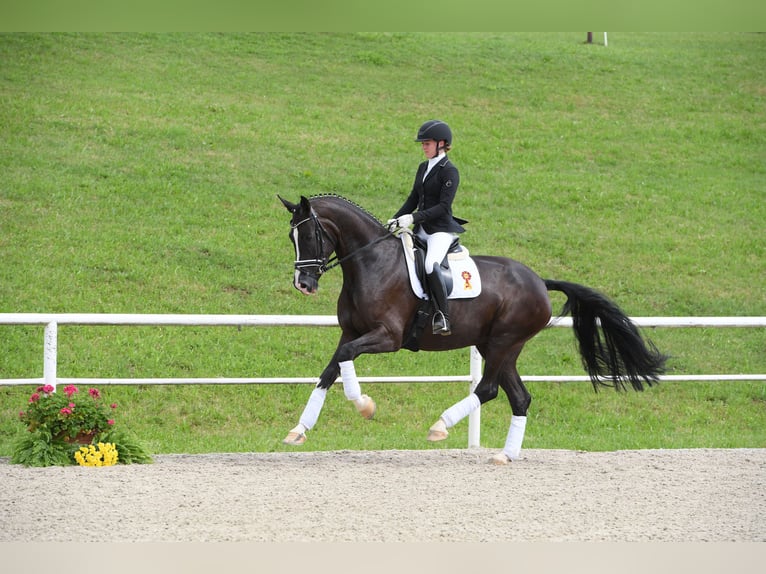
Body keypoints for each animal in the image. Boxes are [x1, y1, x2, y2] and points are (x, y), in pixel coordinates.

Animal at [278, 196, 664, 466]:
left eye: (309, 234)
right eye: (290, 236)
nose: (303, 284)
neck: (372, 264)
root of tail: (539, 281)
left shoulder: (388, 337)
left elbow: (343, 361)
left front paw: (365, 406)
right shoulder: (350, 332)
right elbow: (330, 371)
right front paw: (299, 430)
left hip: (504, 342)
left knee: (489, 388)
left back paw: (441, 426)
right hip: (499, 347)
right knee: (519, 397)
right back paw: (505, 455)